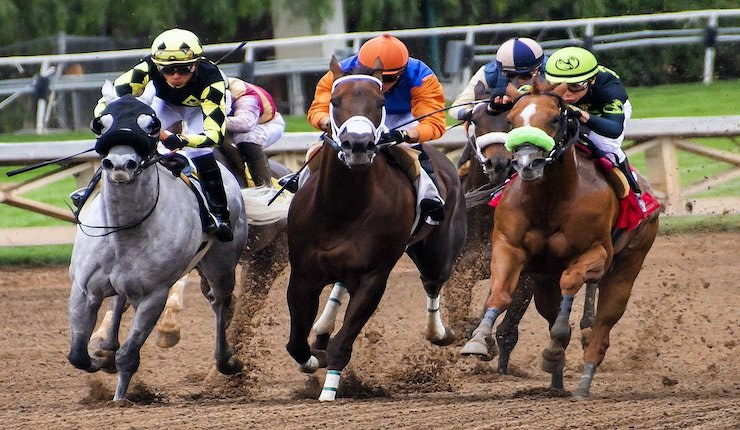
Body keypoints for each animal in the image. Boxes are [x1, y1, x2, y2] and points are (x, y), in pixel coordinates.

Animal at [67, 95, 249, 402]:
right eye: (101, 123)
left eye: (152, 126)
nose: (120, 164)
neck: (124, 231)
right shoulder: (83, 289)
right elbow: (77, 355)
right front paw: (100, 360)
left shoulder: (154, 295)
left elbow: (128, 356)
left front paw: (120, 399)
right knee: (119, 300)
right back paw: (107, 346)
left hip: (221, 265)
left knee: (220, 301)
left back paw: (227, 360)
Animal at [284, 57, 467, 401]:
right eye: (334, 101)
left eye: (380, 102)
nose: (357, 145)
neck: (343, 208)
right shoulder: (303, 274)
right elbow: (296, 345)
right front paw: (314, 358)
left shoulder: (373, 277)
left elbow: (343, 343)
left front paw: (329, 391)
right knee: (340, 286)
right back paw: (322, 328)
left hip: (438, 252)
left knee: (432, 281)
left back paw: (439, 332)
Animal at [459, 85, 660, 398]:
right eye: (512, 120)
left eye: (555, 119)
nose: (525, 162)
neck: (550, 199)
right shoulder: (509, 250)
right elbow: (499, 294)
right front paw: (478, 339)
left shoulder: (595, 254)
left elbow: (571, 285)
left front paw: (555, 347)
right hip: (544, 281)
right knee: (554, 311)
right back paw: (556, 383)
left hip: (627, 265)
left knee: (601, 328)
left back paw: (582, 382)